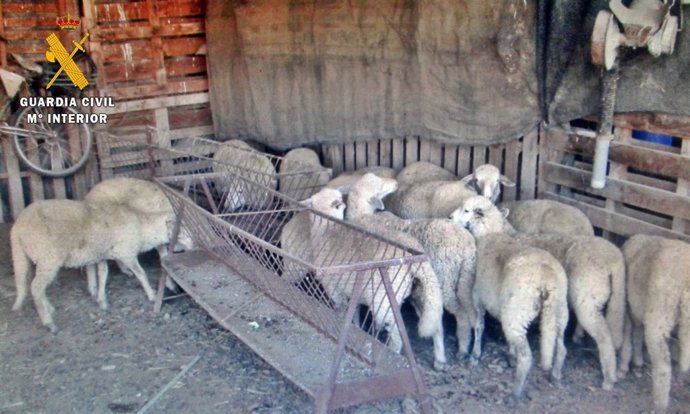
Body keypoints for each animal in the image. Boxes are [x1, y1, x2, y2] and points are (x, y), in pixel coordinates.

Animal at [11, 199, 175, 332]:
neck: (142, 226)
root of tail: (17, 228)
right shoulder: (126, 253)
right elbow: (141, 273)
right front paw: (152, 295)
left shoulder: (102, 255)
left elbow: (103, 274)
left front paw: (102, 301)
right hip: (48, 257)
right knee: (36, 287)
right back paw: (48, 322)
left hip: (25, 256)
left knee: (31, 284)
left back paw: (49, 309)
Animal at [301, 184, 445, 369]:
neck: (326, 230)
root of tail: (416, 256)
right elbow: (354, 314)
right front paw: (357, 330)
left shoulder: (335, 290)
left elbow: (341, 313)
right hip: (421, 290)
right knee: (436, 320)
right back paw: (440, 359)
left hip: (384, 300)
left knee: (397, 333)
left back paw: (391, 353)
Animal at [450, 195, 569, 407]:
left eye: (466, 210)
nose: (449, 217)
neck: (490, 235)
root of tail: (547, 279)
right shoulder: (501, 304)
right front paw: (510, 354)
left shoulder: (478, 296)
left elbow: (479, 326)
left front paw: (475, 355)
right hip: (559, 310)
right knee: (562, 348)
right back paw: (555, 376)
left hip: (518, 312)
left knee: (526, 357)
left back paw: (514, 394)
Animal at [618, 234, 690, 413]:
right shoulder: (638, 309)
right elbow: (637, 335)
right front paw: (637, 363)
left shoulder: (628, 307)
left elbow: (628, 337)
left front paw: (623, 367)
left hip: (660, 313)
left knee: (664, 366)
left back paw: (659, 405)